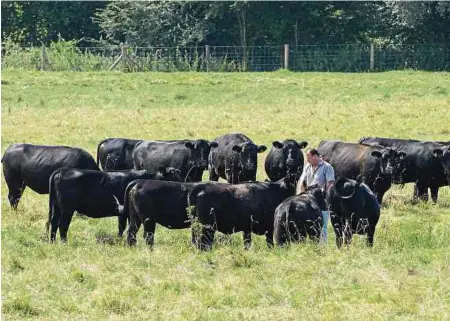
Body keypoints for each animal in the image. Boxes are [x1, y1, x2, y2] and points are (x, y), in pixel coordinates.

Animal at [47, 166, 181, 241]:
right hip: (67, 209)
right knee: (62, 225)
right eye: (173, 176)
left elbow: (121, 227)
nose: (181, 185)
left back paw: (52, 242)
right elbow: (124, 226)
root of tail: (62, 170)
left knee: (53, 223)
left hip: (56, 206)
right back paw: (64, 242)